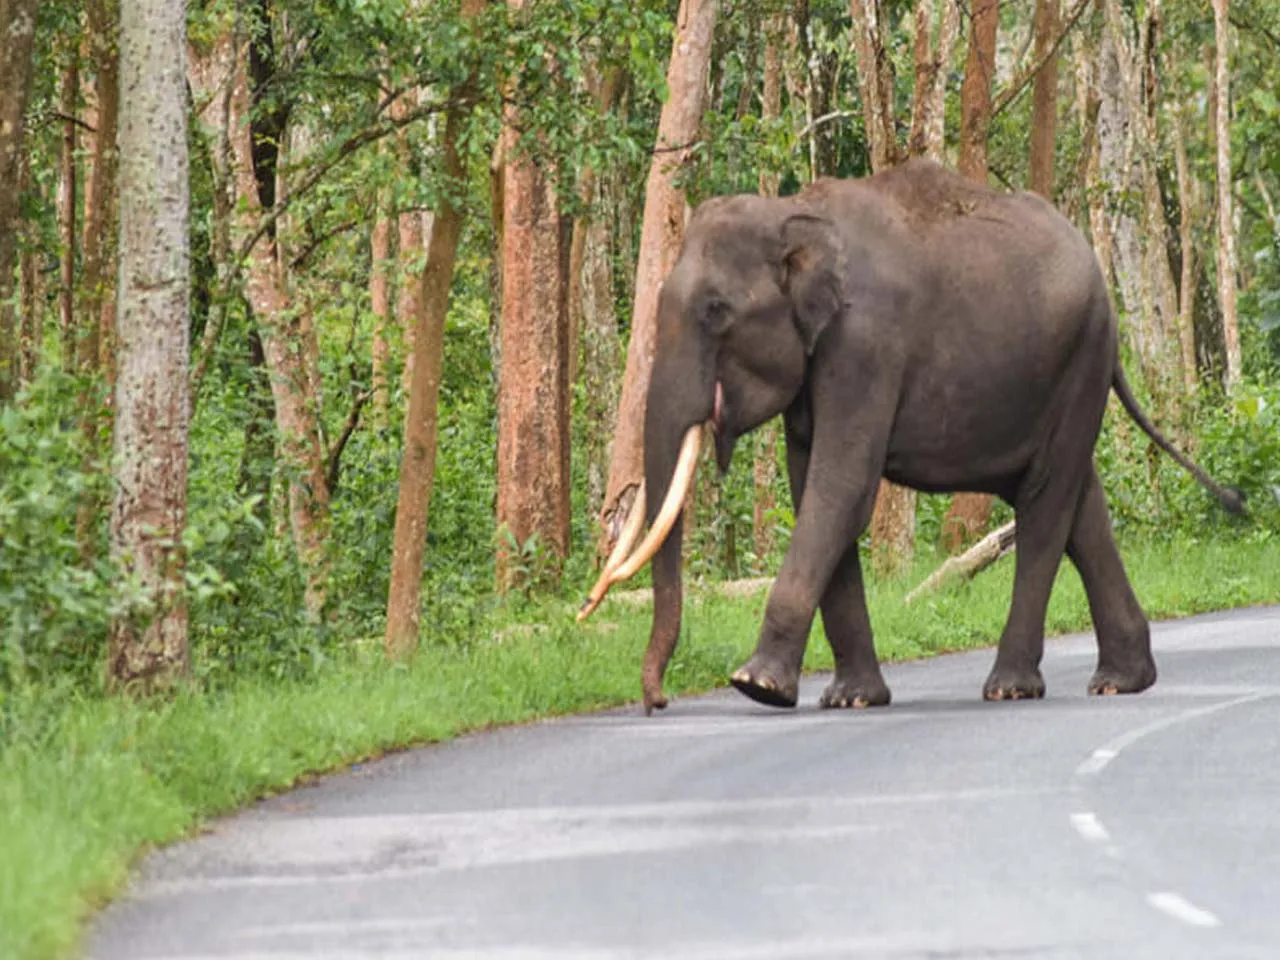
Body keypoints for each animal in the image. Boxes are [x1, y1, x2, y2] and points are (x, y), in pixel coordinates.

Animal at [581, 158, 1239, 716]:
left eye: (716, 310)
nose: (657, 701)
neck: (793, 212)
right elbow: (813, 486)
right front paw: (850, 699)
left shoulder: (867, 344)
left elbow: (841, 490)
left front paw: (756, 685)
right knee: (1079, 501)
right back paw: (1120, 681)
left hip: (1082, 358)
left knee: (1045, 502)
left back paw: (1009, 688)